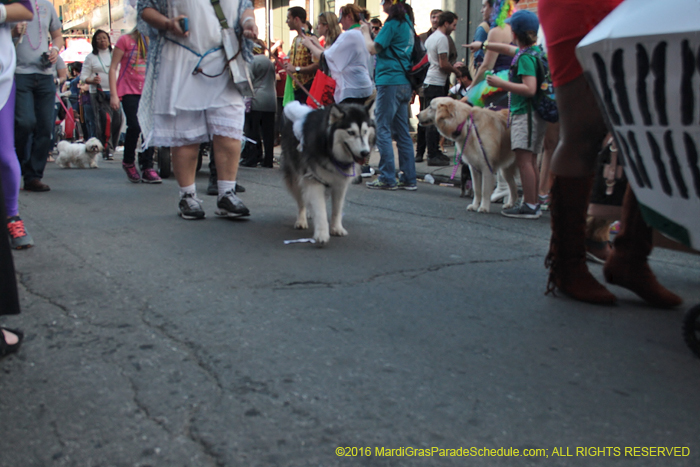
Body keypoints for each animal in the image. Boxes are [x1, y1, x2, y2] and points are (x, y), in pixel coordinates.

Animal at [280, 103, 374, 247]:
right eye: (351, 132)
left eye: (364, 131)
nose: (365, 153)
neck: (331, 152)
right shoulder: (314, 179)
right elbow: (321, 210)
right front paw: (322, 234)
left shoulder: (340, 183)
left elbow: (337, 209)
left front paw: (336, 228)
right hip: (296, 175)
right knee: (301, 200)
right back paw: (301, 220)